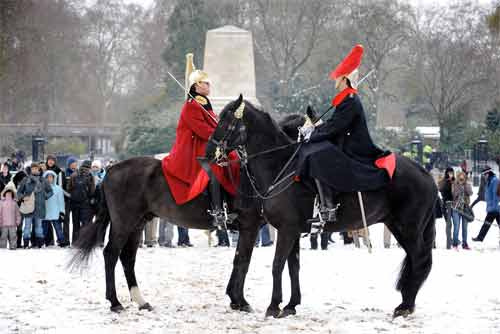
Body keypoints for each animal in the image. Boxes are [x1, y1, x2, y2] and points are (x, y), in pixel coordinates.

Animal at [205, 94, 436, 318]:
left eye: (226, 121)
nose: (208, 153)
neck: (280, 166)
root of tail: (426, 173)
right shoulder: (292, 231)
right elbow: (293, 266)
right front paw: (290, 305)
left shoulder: (286, 230)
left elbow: (277, 265)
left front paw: (273, 306)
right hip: (397, 226)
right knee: (415, 260)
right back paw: (406, 303)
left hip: (408, 228)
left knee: (419, 259)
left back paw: (406, 305)